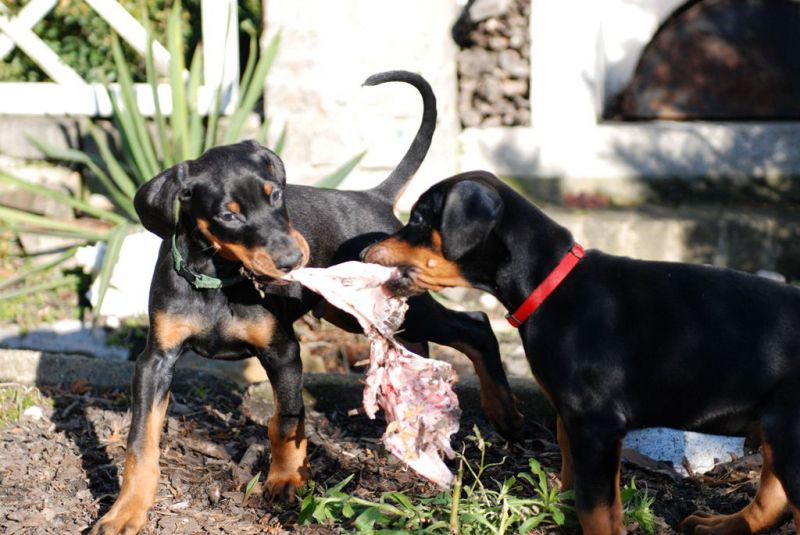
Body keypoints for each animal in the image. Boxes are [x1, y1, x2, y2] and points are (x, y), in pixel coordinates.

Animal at [91, 73, 522, 535]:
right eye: (228, 215)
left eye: (275, 194)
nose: (293, 259)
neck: (219, 278)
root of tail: (372, 197)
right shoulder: (156, 359)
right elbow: (141, 440)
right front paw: (125, 511)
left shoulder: (282, 352)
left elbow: (287, 420)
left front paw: (287, 482)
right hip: (347, 310)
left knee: (475, 324)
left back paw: (504, 415)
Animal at [364, 170, 800, 535]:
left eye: (419, 219)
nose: (367, 250)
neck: (549, 284)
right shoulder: (570, 417)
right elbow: (576, 486)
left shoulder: (594, 422)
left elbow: (596, 507)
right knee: (773, 498)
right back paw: (720, 525)